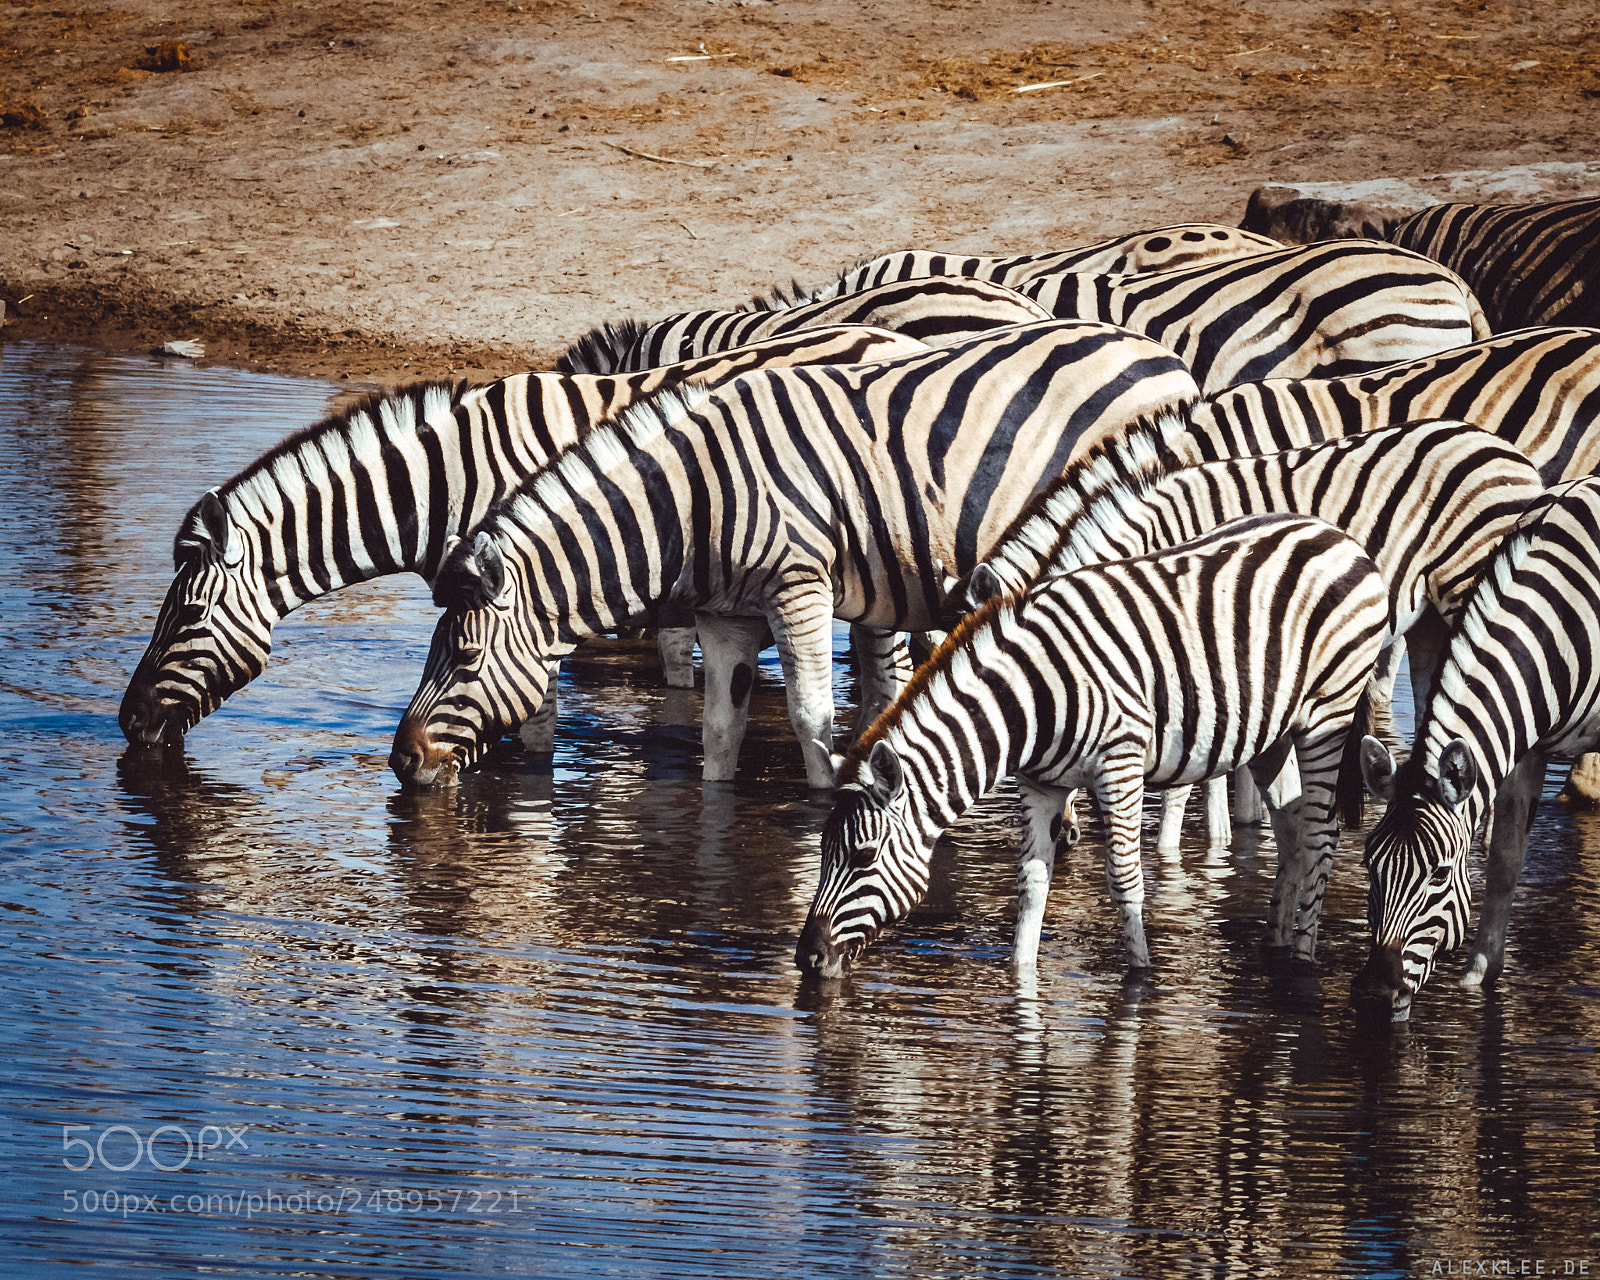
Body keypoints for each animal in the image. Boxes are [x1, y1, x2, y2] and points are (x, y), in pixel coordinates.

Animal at [118, 324, 930, 748]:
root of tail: (884, 331)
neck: (449, 485)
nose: (126, 723)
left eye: (187, 615)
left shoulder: (526, 597)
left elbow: (525, 723)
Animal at [388, 320, 1200, 790]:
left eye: (463, 659)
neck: (695, 495)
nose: (401, 760)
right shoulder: (725, 617)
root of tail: (1162, 353)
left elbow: (812, 715)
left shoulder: (799, 586)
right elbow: (720, 732)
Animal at [794, 514, 1390, 978]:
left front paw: (1141, 975)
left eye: (864, 856)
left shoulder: (1119, 764)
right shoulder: (1039, 784)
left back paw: (1303, 961)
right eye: (822, 850)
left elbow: (1125, 881)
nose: (806, 958)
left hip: (1327, 713)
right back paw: (1277, 943)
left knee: (1320, 836)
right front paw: (1022, 975)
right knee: (1292, 832)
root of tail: (1337, 534)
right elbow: (1032, 885)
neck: (1030, 700)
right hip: (1271, 733)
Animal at [942, 415, 1546, 847]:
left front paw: (1175, 854)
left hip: (1469, 591)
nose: (1064, 836)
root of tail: (1511, 451)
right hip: (1430, 625)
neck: (1151, 542)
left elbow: (1191, 775)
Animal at [1355, 477, 1600, 1021]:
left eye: (1440, 875)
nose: (1378, 992)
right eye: (1368, 864)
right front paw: (1477, 977)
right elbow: (1505, 865)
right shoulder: (1526, 743)